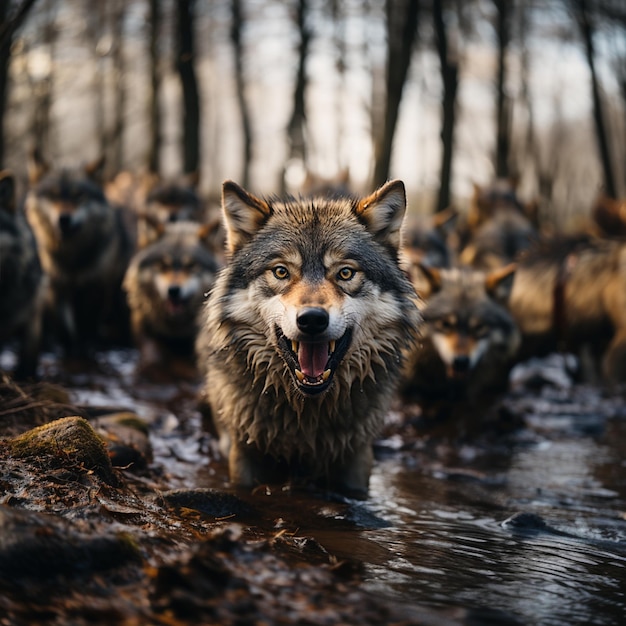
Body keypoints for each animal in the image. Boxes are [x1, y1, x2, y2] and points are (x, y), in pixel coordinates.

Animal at [24, 150, 133, 356]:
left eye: (79, 196)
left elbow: (86, 325)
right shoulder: (56, 288)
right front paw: (69, 349)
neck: (71, 259)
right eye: (53, 195)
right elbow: (64, 327)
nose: (64, 219)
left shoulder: (94, 288)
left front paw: (84, 348)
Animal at [195, 178, 420, 494]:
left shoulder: (356, 458)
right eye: (281, 272)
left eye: (345, 273)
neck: (307, 414)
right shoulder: (245, 456)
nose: (312, 319)